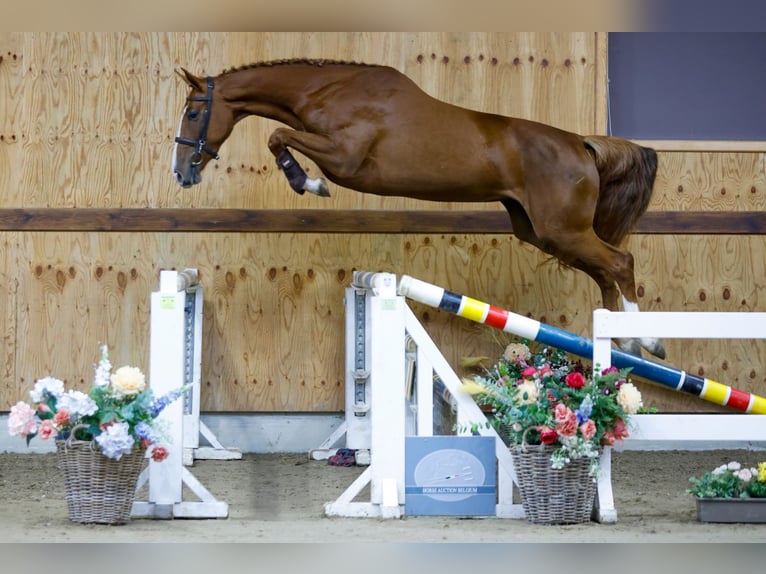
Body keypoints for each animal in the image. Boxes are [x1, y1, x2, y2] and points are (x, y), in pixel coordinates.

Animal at [174, 60, 664, 362]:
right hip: (542, 232)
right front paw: (305, 182)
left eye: (194, 113)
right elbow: (278, 137)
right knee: (604, 273)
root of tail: (580, 143)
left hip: (563, 230)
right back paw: (624, 342)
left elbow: (277, 136)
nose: (182, 173)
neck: (331, 91)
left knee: (620, 262)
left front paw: (308, 184)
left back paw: (648, 340)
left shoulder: (344, 158)